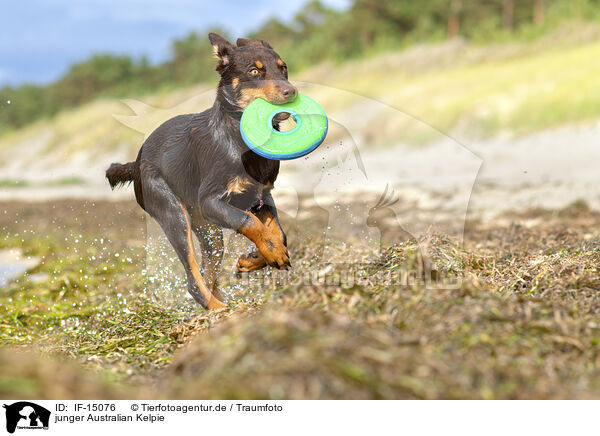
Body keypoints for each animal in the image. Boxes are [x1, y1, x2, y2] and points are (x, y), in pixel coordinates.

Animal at [107, 34, 298, 310]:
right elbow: (249, 222)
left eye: (283, 68)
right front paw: (271, 253)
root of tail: (136, 161)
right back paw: (219, 310)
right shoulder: (211, 201)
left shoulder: (261, 196)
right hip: (174, 215)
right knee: (193, 280)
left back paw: (222, 301)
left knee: (208, 274)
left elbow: (279, 233)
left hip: (208, 229)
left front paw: (255, 259)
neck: (240, 136)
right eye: (254, 71)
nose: (291, 91)